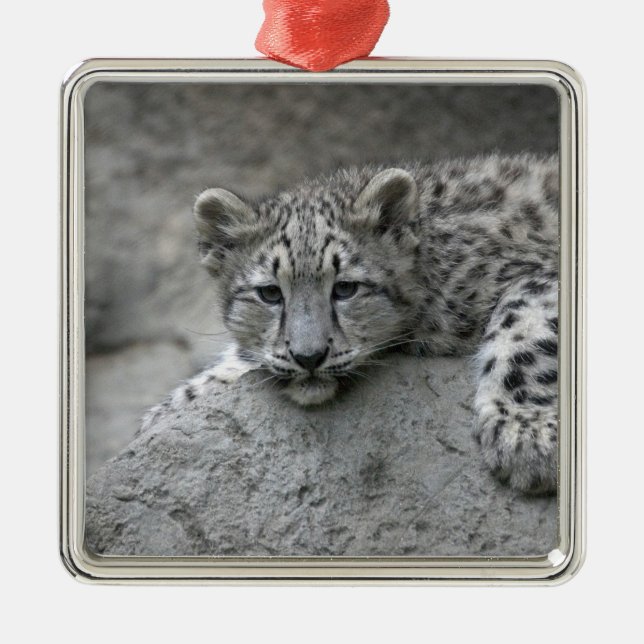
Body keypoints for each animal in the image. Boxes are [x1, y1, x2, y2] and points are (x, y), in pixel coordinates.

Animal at [142, 153, 560, 494]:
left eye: (345, 288)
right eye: (270, 293)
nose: (309, 357)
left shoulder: (537, 272)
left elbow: (524, 328)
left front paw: (526, 437)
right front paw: (162, 415)